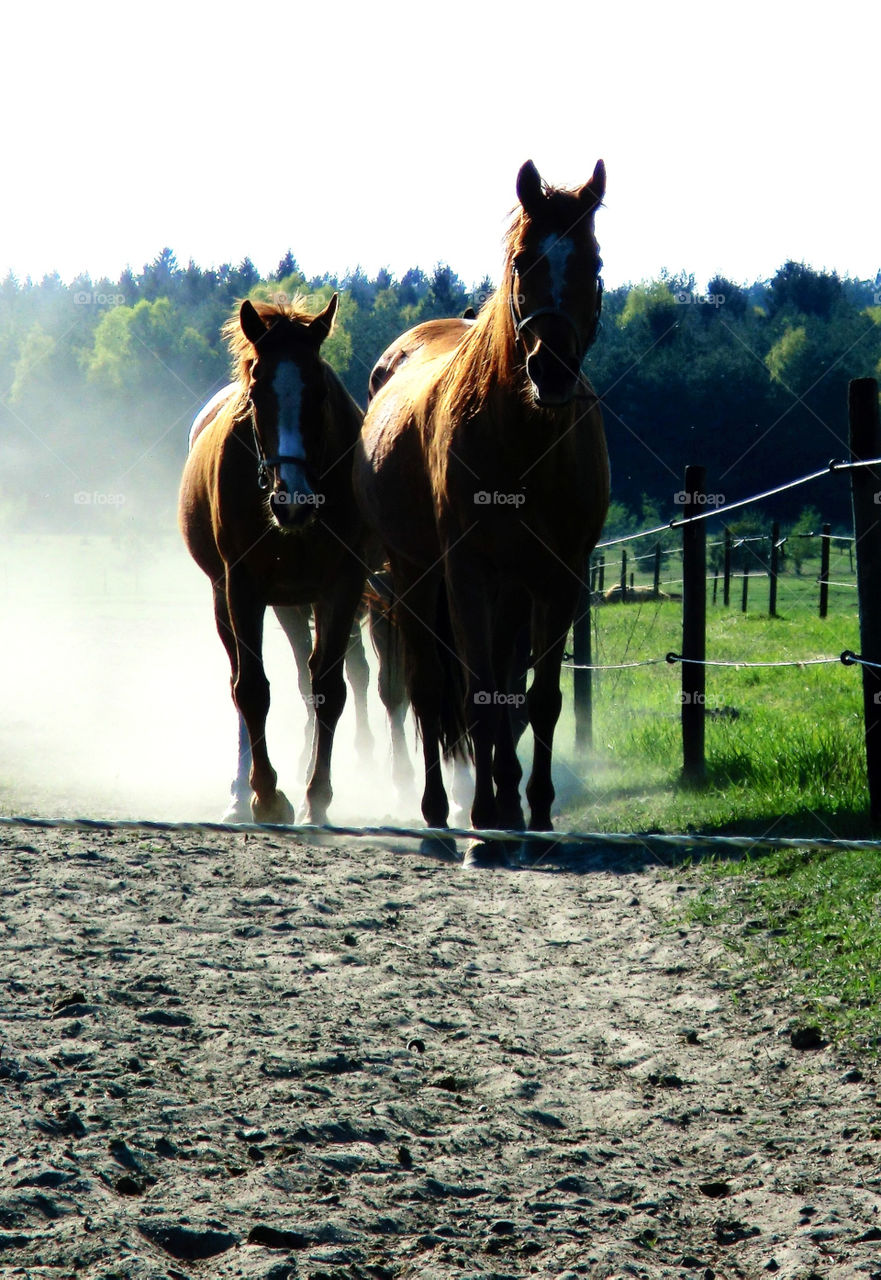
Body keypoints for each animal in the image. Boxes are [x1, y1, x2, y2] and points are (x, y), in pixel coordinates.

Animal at [179, 294, 368, 824]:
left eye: (319, 390)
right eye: (258, 389)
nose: (292, 501)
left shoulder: (341, 586)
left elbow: (328, 688)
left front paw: (317, 796)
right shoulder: (242, 586)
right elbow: (251, 690)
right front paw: (265, 794)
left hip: (294, 604)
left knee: (309, 679)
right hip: (232, 598)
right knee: (241, 684)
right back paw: (240, 792)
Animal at [355, 160, 609, 867]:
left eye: (593, 263)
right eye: (523, 261)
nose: (551, 369)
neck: (522, 440)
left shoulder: (557, 579)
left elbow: (538, 700)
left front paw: (536, 815)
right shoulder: (467, 575)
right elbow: (474, 698)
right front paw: (484, 826)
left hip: (509, 593)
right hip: (414, 580)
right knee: (426, 691)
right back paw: (441, 815)